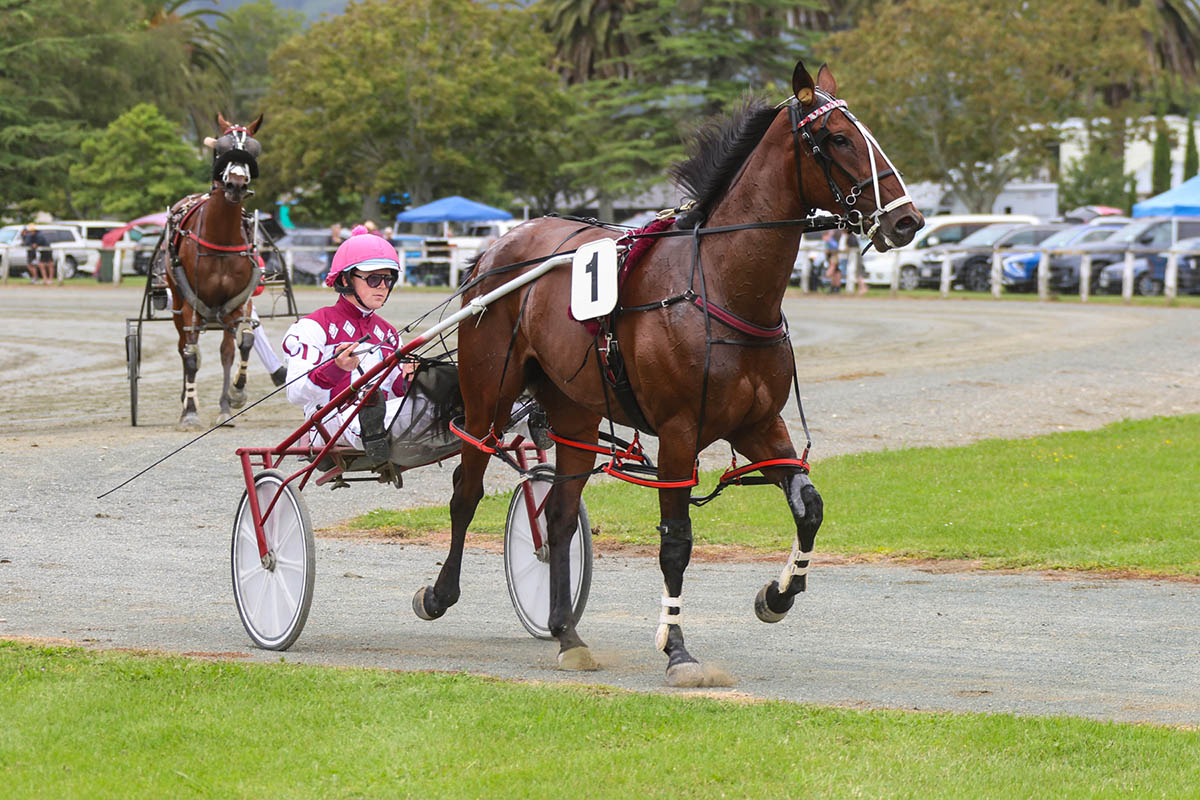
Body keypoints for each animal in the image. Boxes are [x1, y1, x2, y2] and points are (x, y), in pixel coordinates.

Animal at [165, 112, 264, 428]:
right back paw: (185, 400)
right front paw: (190, 412)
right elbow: (191, 355)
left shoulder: (238, 303)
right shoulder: (191, 305)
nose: (235, 184)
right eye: (220, 148)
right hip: (178, 298)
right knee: (183, 345)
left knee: (227, 350)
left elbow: (242, 344)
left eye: (254, 150)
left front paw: (234, 397)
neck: (221, 238)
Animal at [415, 60, 924, 685]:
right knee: (466, 491)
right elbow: (676, 543)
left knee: (559, 515)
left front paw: (776, 596)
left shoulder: (759, 424)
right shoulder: (681, 434)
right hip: (489, 391)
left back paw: (566, 633)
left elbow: (809, 507)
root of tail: (494, 250)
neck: (719, 285)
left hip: (573, 410)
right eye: (837, 139)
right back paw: (439, 594)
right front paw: (678, 648)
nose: (906, 221)